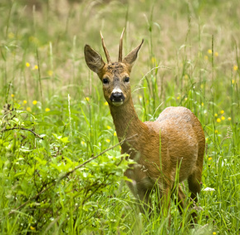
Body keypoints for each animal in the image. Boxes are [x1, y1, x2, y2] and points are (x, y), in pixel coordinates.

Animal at [84, 28, 204, 222]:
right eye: (105, 79)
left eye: (126, 78)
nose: (117, 95)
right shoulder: (136, 186)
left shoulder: (162, 180)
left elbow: (164, 221)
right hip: (175, 179)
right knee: (183, 200)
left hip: (198, 164)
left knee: (194, 202)